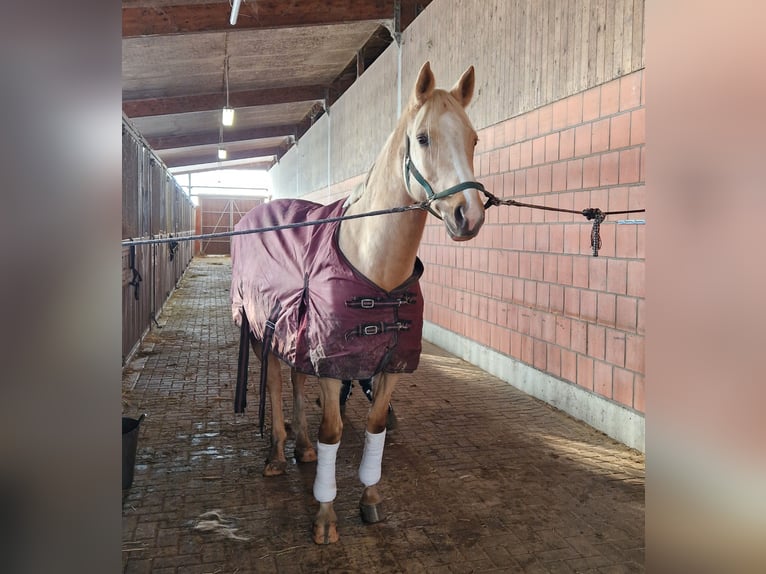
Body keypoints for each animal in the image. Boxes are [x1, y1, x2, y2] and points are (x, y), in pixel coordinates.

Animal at [230, 61, 486, 544]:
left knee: (296, 381)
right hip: (264, 333)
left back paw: (303, 448)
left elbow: (375, 426)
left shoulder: (387, 365)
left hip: (298, 338)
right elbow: (333, 430)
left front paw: (369, 499)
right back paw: (276, 454)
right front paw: (325, 516)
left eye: (474, 138)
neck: (375, 269)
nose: (469, 216)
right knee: (274, 384)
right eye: (423, 138)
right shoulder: (335, 365)